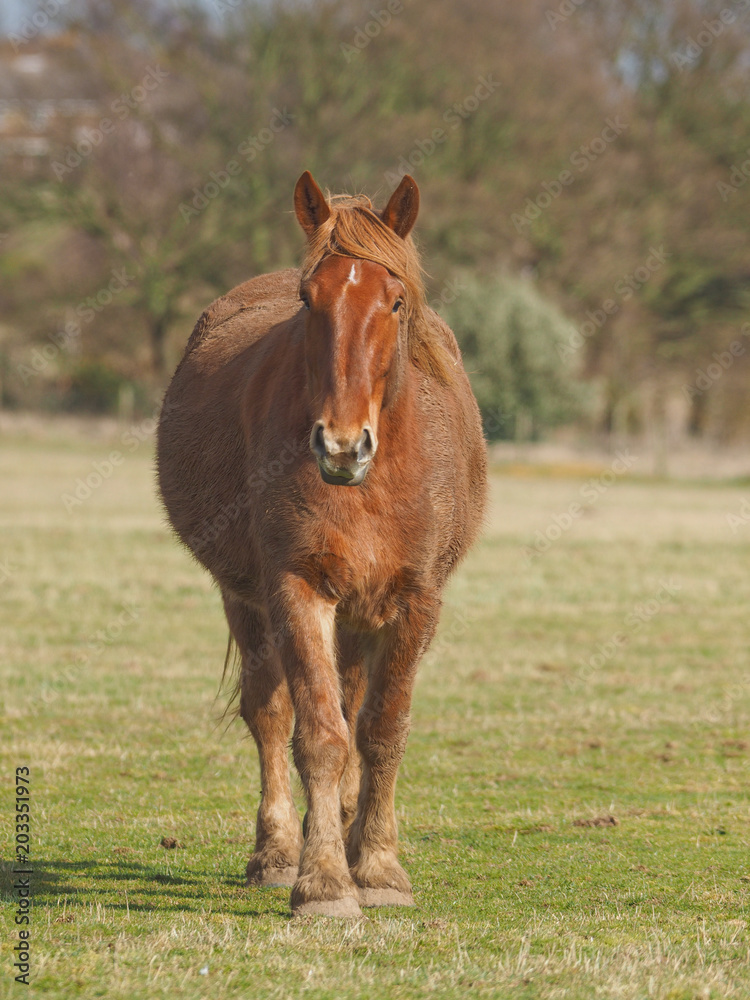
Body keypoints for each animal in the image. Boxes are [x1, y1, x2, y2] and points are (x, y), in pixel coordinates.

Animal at [156, 171, 487, 917]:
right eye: (312, 300)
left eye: (395, 300)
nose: (341, 445)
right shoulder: (296, 587)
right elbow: (319, 732)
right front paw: (324, 882)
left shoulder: (416, 600)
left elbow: (381, 730)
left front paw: (380, 867)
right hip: (247, 599)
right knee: (271, 714)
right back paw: (281, 851)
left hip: (362, 613)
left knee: (353, 704)